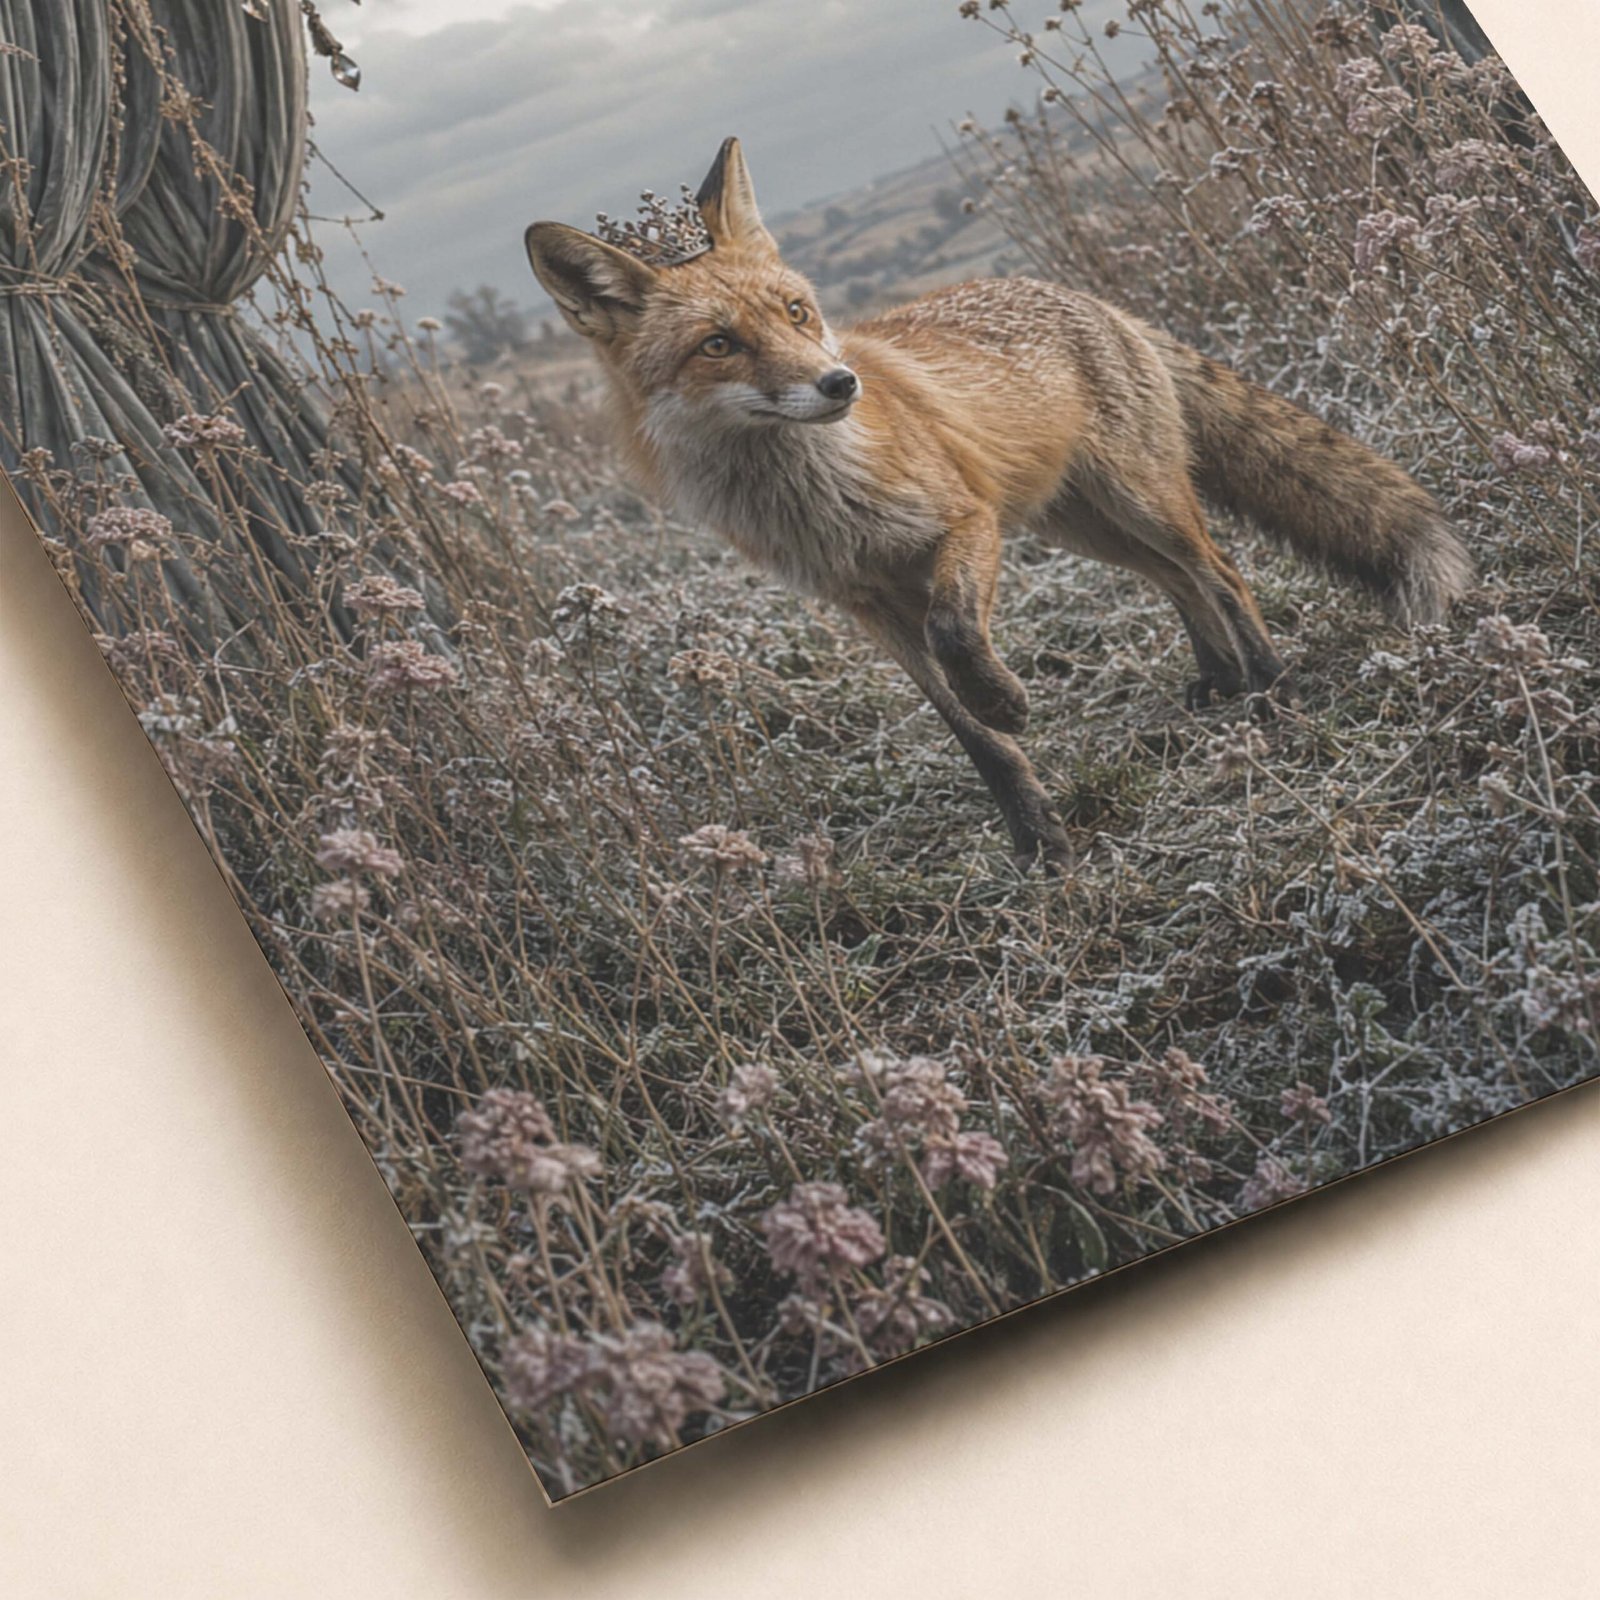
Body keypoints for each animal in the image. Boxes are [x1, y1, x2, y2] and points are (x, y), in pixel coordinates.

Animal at [525, 138, 1472, 871]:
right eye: (719, 345)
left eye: (797, 312)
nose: (839, 383)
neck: (818, 499)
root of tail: (1086, 297)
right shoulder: (863, 605)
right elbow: (969, 737)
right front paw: (1035, 837)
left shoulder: (964, 526)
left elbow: (958, 635)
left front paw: (1007, 700)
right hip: (1082, 524)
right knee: (1178, 581)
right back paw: (1222, 680)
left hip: (1137, 501)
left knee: (1223, 571)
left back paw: (1273, 690)